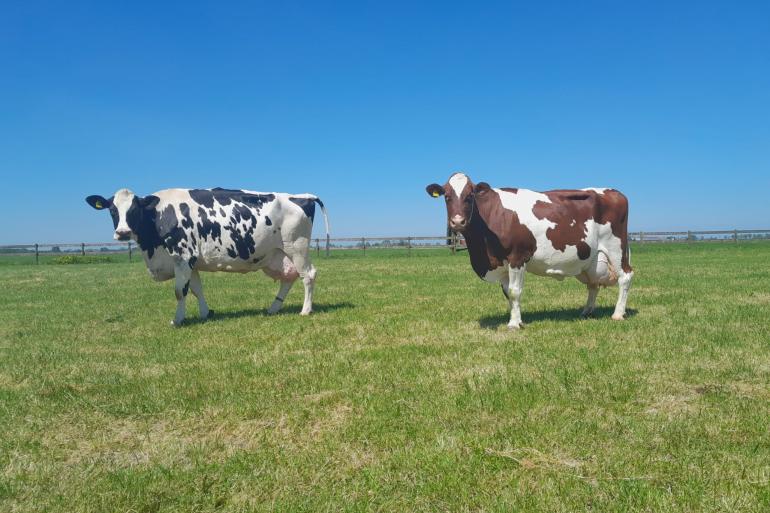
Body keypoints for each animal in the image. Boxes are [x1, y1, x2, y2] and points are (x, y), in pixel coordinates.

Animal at [85, 187, 328, 324]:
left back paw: (306, 310)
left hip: (297, 247)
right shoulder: (190, 261)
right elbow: (196, 289)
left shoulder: (183, 256)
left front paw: (178, 319)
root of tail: (302, 196)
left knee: (308, 275)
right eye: (112, 210)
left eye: (134, 209)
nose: (123, 232)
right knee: (290, 277)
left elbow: (179, 292)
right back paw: (273, 308)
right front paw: (205, 313)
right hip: (277, 254)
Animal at [426, 172, 632, 328]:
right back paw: (586, 311)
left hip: (616, 248)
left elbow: (515, 291)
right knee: (593, 284)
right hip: (589, 259)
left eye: (470, 196)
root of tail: (615, 192)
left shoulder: (517, 257)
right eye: (447, 197)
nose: (458, 221)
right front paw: (516, 318)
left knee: (625, 276)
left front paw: (514, 324)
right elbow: (508, 293)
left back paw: (618, 314)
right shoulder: (502, 264)